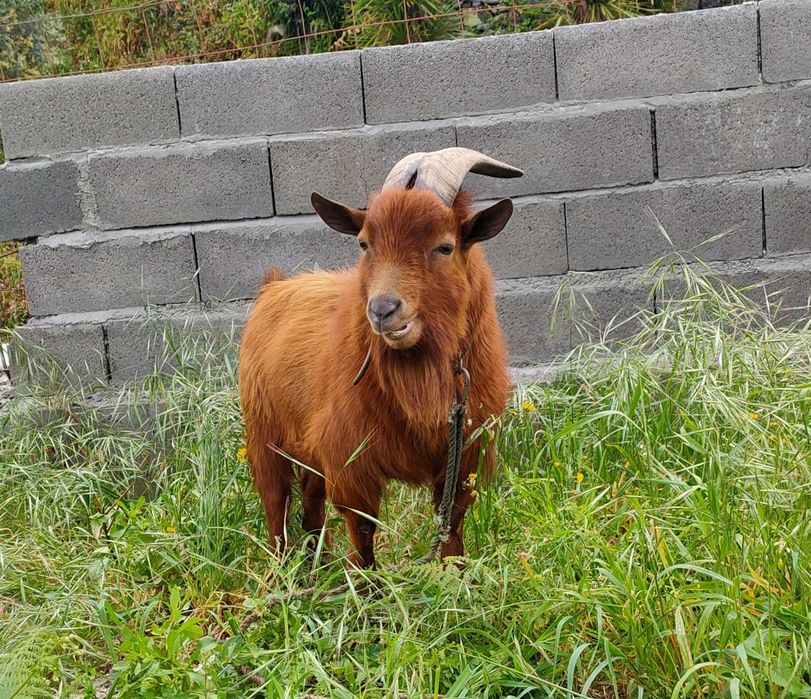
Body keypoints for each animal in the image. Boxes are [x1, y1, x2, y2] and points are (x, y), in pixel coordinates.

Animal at [239, 148, 523, 567]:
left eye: (445, 247)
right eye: (364, 244)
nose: (383, 309)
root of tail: (274, 287)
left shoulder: (463, 457)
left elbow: (451, 526)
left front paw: (457, 575)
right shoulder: (349, 457)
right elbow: (362, 533)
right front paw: (365, 583)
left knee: (310, 504)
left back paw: (318, 566)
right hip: (263, 435)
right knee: (277, 507)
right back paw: (282, 572)